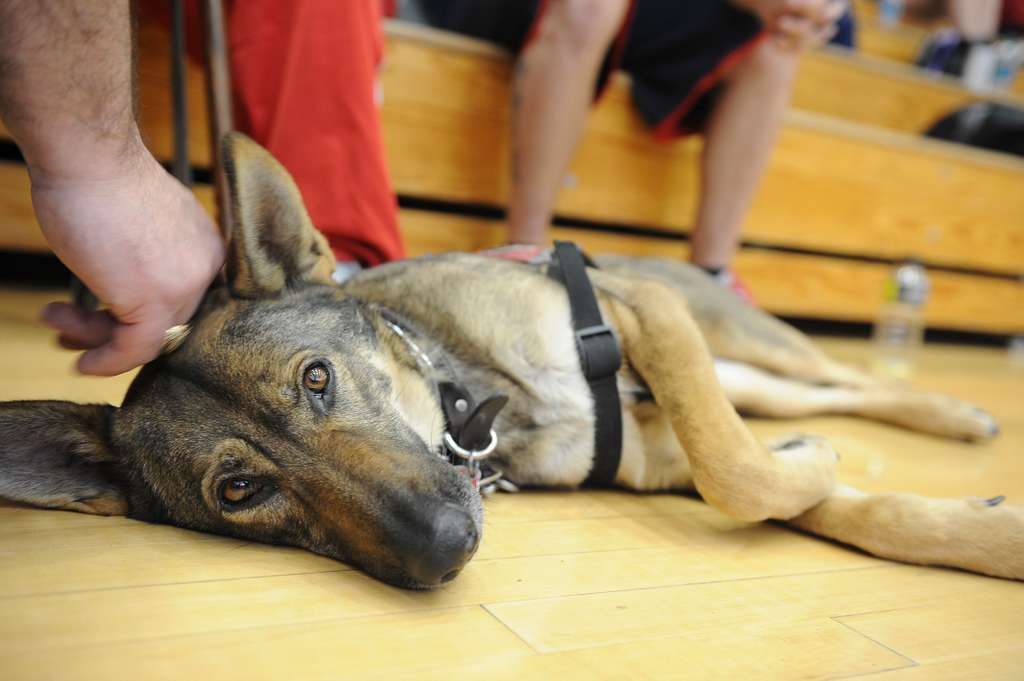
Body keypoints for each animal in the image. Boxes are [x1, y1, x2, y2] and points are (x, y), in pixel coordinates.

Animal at [0, 131, 1019, 585]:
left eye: (316, 378)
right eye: (239, 490)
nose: (446, 548)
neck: (473, 402)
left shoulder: (642, 316)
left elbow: (739, 469)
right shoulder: (667, 452)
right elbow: (813, 494)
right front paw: (979, 529)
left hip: (730, 336)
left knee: (845, 377)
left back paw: (954, 411)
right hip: (743, 374)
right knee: (806, 399)